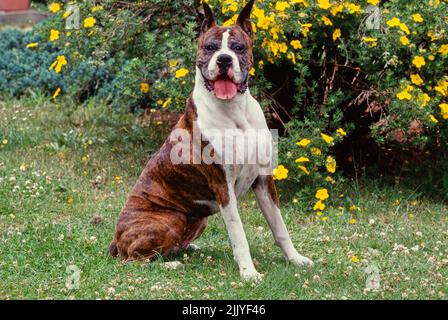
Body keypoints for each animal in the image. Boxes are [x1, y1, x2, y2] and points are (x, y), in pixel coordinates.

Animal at [108, 0, 312, 280]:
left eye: (238, 47)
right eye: (210, 47)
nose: (224, 59)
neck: (236, 113)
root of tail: (116, 239)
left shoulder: (263, 180)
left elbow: (280, 227)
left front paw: (295, 259)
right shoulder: (223, 187)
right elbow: (239, 235)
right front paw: (249, 273)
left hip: (198, 219)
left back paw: (187, 248)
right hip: (168, 220)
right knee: (132, 260)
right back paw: (171, 263)